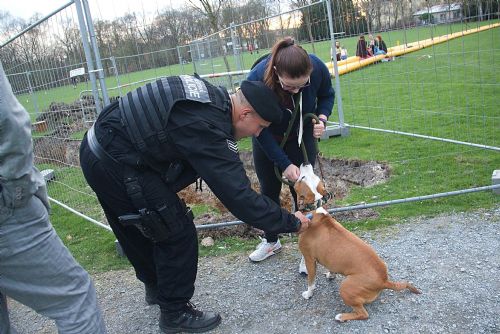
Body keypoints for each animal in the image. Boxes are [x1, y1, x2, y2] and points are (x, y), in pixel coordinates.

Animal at [294, 163, 420, 322]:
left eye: (302, 178)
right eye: (315, 176)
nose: (306, 163)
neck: (315, 208)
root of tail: (384, 280)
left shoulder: (309, 259)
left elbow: (311, 281)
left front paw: (308, 294)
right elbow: (331, 268)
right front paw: (331, 275)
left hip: (346, 286)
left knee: (363, 314)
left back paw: (341, 316)